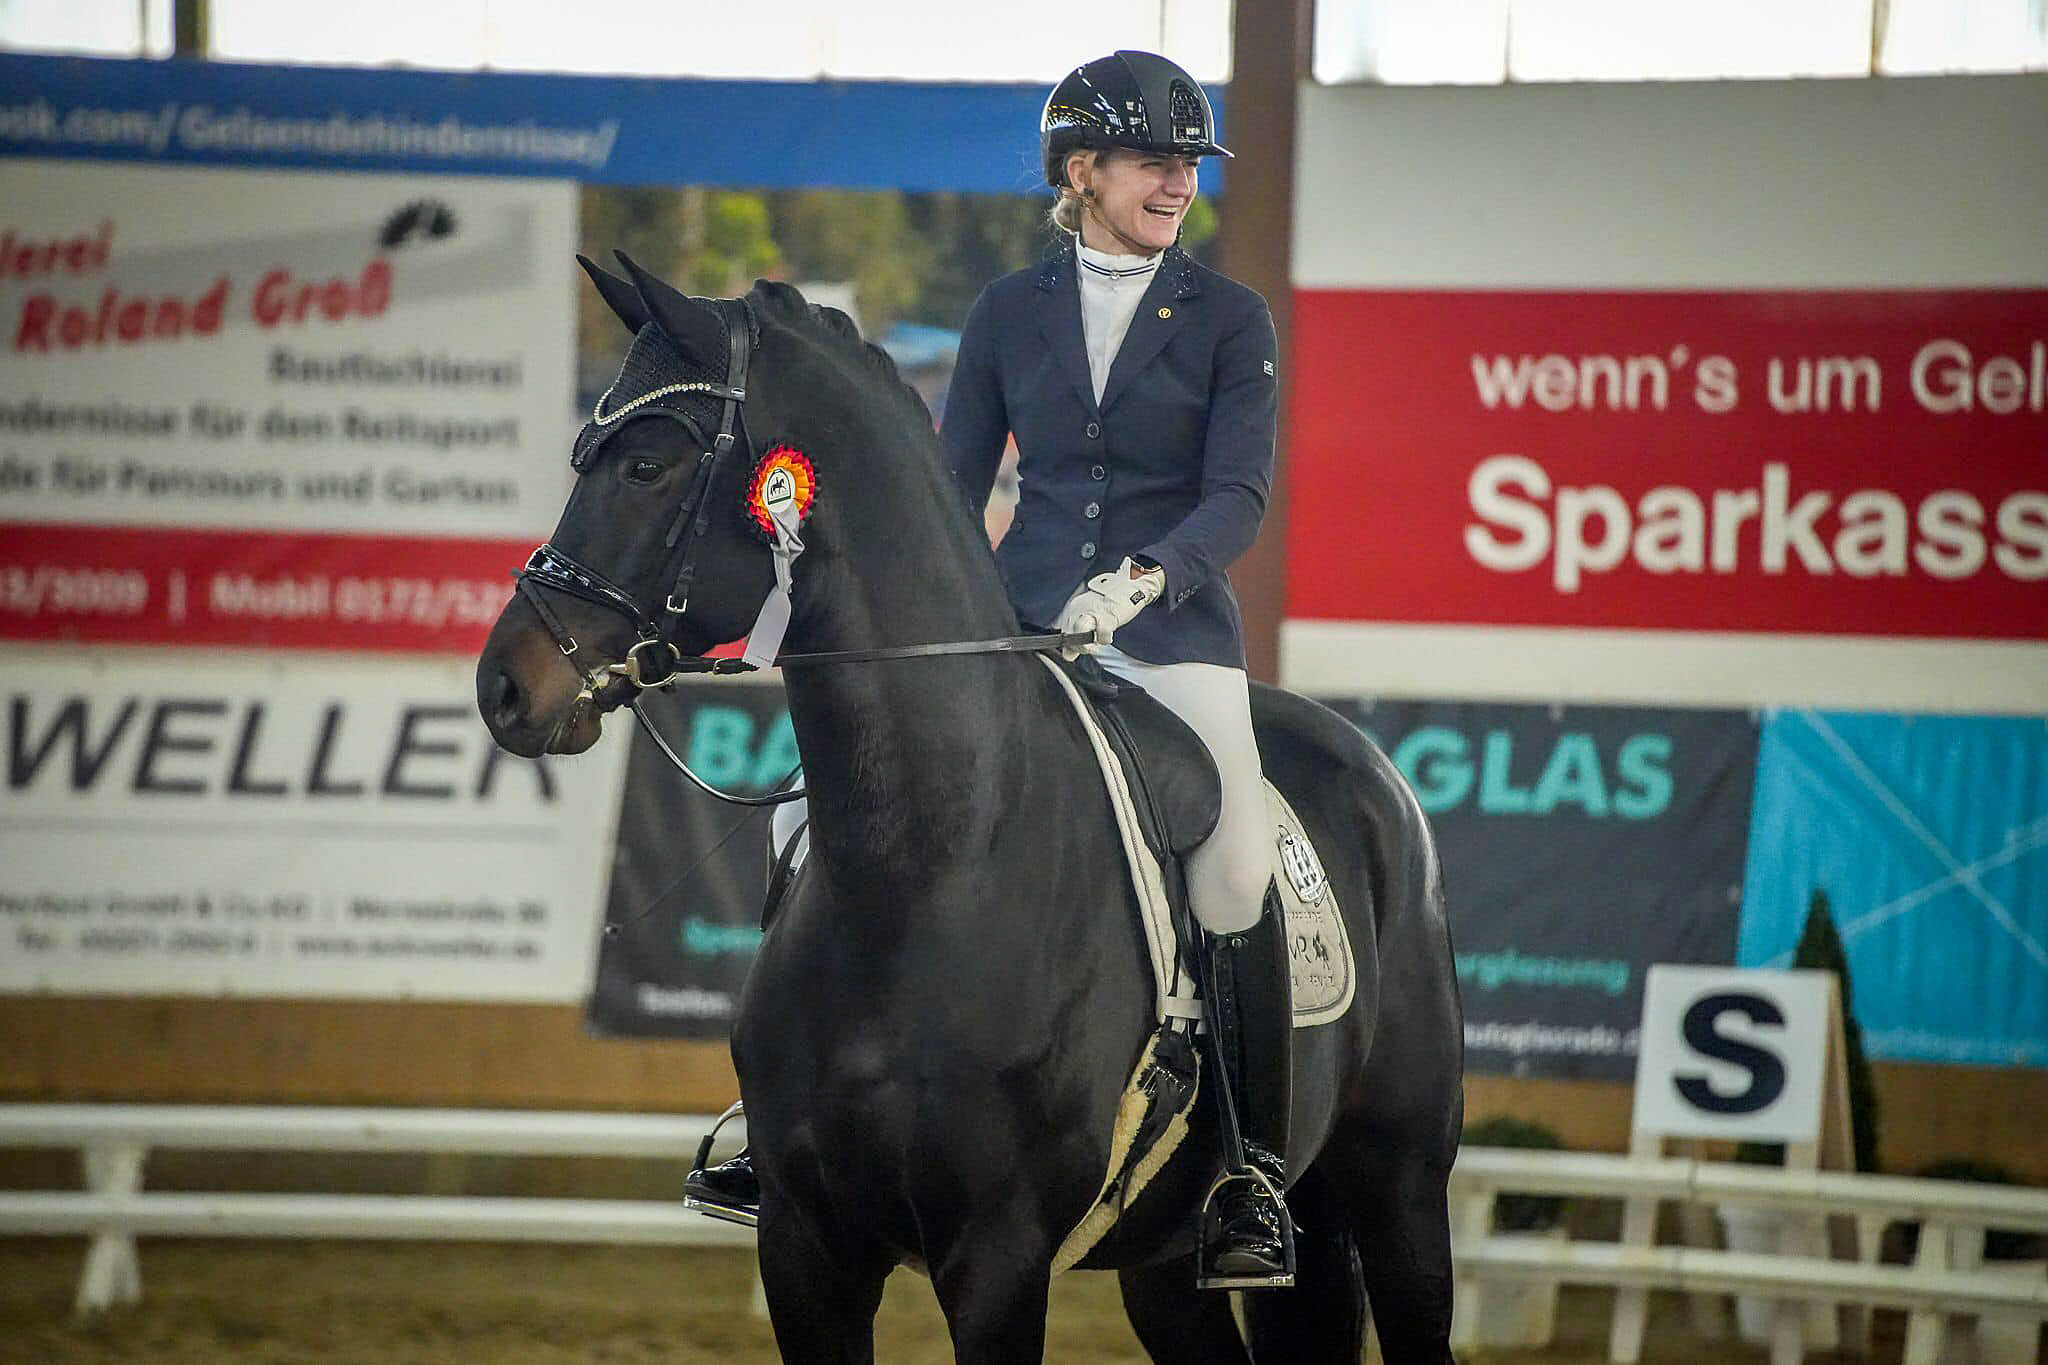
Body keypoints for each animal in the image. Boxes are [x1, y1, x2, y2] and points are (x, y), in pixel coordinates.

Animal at [475, 258, 1474, 1365]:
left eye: (647, 465)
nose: (504, 688)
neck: (931, 864)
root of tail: (1376, 778)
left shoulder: (997, 1260)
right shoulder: (804, 1250)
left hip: (1397, 1191)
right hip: (1169, 1263)